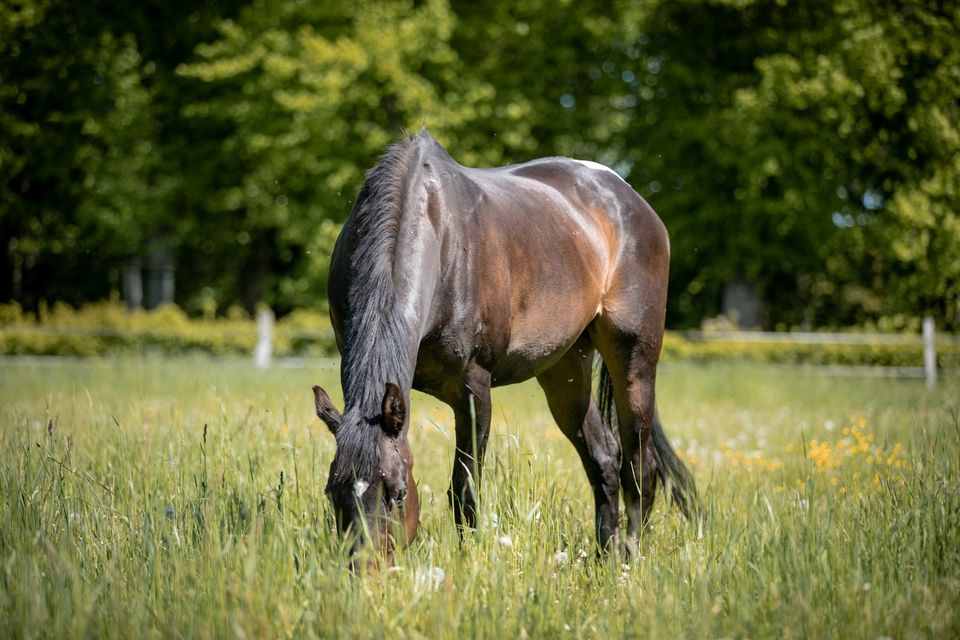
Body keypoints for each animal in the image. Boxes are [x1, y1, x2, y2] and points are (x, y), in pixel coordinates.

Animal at [312, 127, 692, 556]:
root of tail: (629, 198)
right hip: (566, 370)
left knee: (639, 467)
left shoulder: (473, 390)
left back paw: (630, 556)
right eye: (333, 493)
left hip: (634, 360)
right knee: (604, 459)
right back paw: (604, 556)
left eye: (397, 493)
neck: (438, 235)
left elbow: (465, 488)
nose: (364, 566)